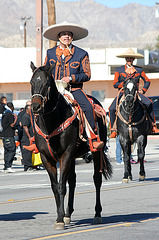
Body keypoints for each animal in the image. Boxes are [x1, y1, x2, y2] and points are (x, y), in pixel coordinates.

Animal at [29, 61, 112, 229]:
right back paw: (68, 214)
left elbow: (62, 185)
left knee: (97, 179)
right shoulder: (47, 158)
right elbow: (56, 187)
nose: (35, 107)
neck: (52, 122)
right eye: (31, 82)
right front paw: (61, 217)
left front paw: (60, 220)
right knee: (72, 181)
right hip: (73, 157)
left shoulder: (65, 154)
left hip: (96, 151)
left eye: (46, 83)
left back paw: (97, 214)